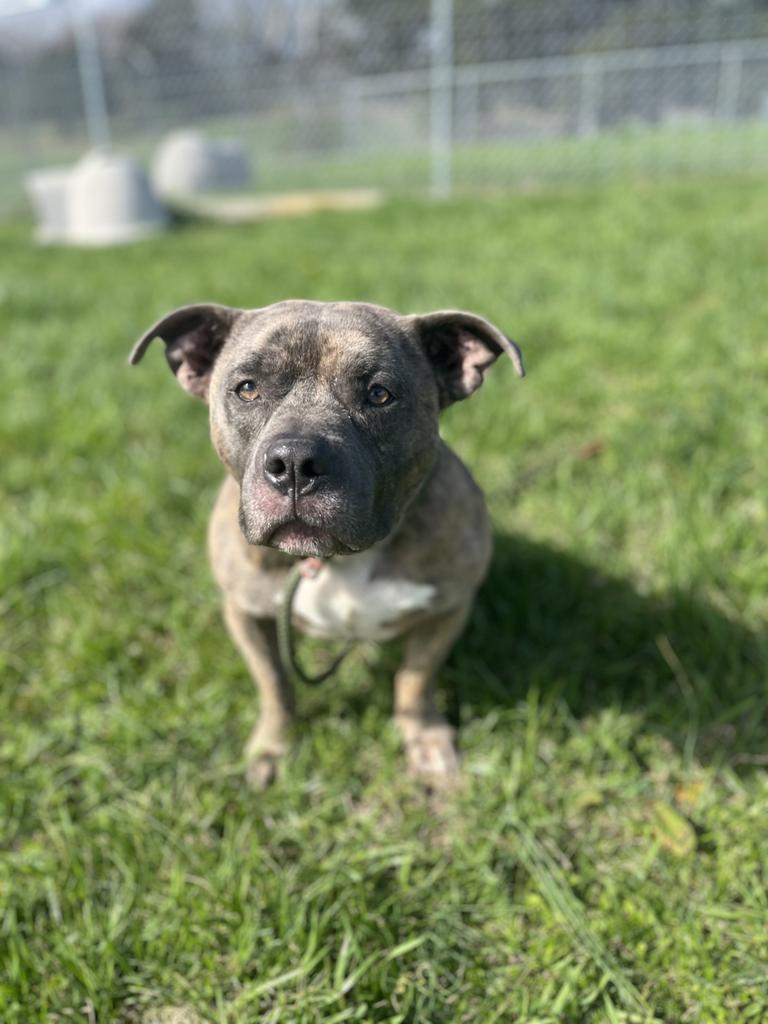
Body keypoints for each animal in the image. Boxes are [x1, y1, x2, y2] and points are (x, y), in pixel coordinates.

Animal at [135, 299, 528, 786]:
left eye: (379, 394)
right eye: (247, 388)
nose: (295, 463)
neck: (339, 561)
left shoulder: (447, 609)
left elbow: (414, 679)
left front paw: (425, 740)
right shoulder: (245, 612)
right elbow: (275, 684)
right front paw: (273, 747)